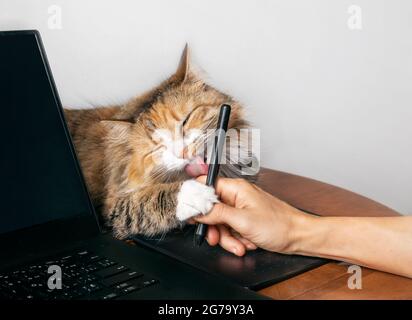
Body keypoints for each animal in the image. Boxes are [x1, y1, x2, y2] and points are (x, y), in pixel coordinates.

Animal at [64, 45, 258, 240]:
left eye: (186, 121)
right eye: (158, 148)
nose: (183, 153)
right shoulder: (114, 205)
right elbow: (150, 199)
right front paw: (193, 195)